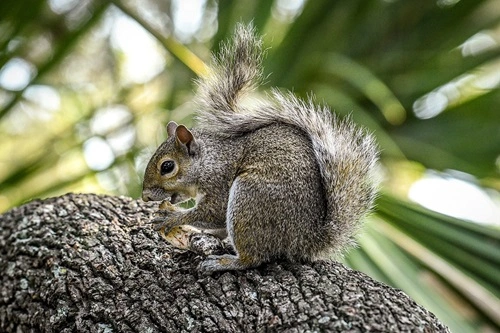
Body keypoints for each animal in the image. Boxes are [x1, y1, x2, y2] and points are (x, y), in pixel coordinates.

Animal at [142, 24, 378, 272]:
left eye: (167, 167)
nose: (145, 197)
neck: (208, 161)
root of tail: (306, 240)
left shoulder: (219, 183)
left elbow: (213, 212)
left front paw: (173, 217)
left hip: (250, 198)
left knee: (253, 257)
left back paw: (226, 262)